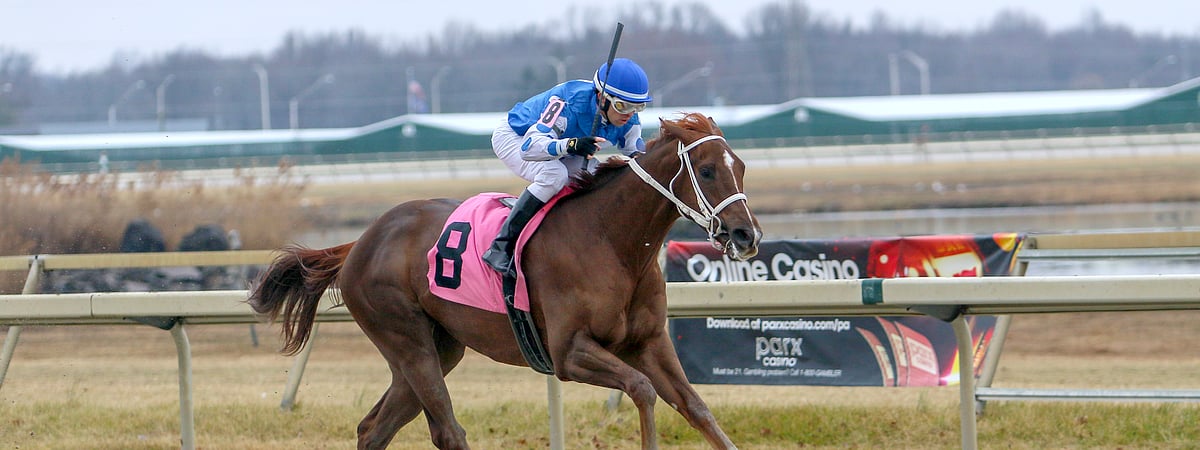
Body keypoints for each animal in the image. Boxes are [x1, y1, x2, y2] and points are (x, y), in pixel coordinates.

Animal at [248, 112, 762, 449]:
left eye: (740, 166)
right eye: (707, 170)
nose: (747, 234)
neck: (612, 241)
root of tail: (360, 242)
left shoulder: (649, 343)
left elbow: (698, 409)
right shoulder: (568, 353)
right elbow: (641, 389)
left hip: (439, 348)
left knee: (374, 428)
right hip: (405, 337)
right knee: (448, 431)